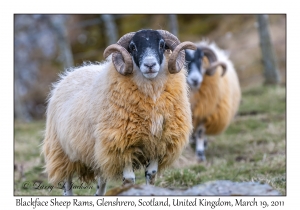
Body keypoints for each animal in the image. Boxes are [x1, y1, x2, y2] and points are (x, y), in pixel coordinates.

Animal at [42, 29, 197, 195]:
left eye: (162, 45)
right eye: (133, 47)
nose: (150, 65)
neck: (152, 96)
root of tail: (70, 73)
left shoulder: (158, 144)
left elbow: (151, 176)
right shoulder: (121, 145)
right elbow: (129, 180)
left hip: (98, 154)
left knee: (101, 183)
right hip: (61, 152)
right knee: (67, 183)